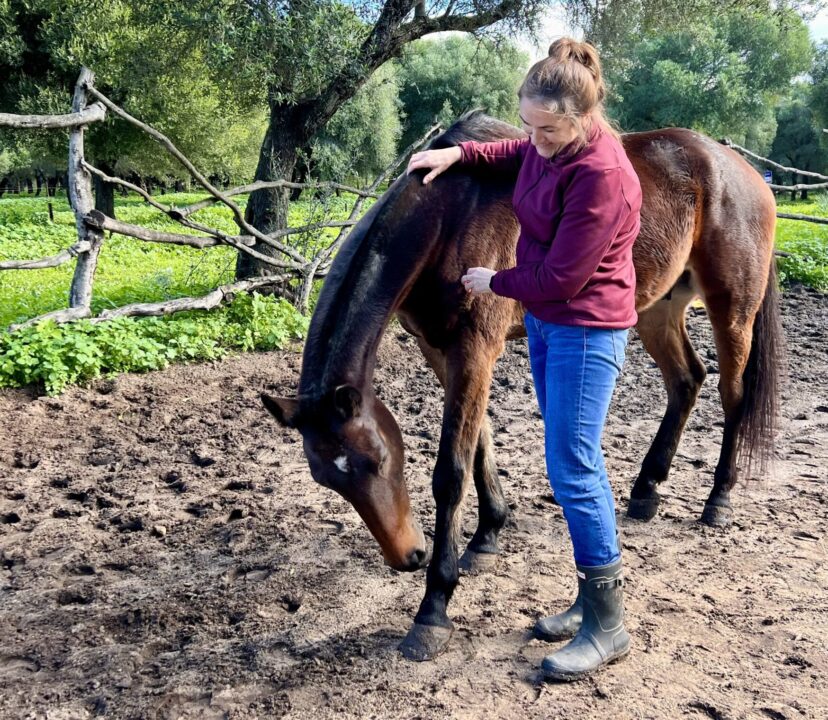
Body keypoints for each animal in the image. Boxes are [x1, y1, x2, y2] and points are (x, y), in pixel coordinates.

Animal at [262, 114, 780, 664]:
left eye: (379, 461)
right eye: (328, 479)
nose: (409, 555)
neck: (449, 213)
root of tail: (743, 171)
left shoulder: (475, 348)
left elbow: (451, 472)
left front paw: (433, 608)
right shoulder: (441, 349)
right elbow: (480, 444)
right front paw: (487, 536)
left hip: (732, 309)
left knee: (733, 396)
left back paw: (718, 500)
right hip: (658, 308)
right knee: (686, 380)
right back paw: (645, 490)